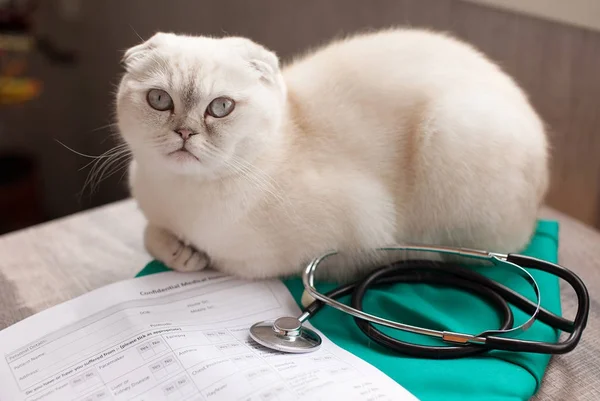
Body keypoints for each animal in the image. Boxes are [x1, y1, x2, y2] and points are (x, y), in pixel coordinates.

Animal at [115, 28, 552, 282]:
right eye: (159, 100)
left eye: (220, 107)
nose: (184, 133)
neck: (185, 199)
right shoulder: (153, 208)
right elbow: (150, 233)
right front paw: (180, 252)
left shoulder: (352, 231)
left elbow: (227, 262)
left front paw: (194, 256)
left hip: (454, 132)